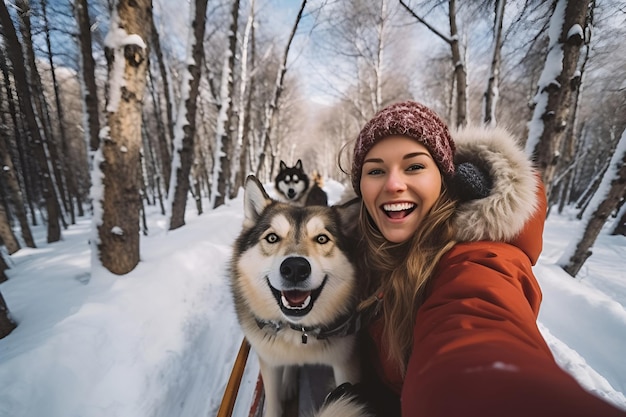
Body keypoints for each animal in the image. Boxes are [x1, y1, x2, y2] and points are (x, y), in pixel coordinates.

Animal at [229, 175, 358, 416]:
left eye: (322, 239)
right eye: (272, 238)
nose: (296, 268)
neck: (299, 333)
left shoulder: (345, 365)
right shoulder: (269, 363)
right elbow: (272, 405)